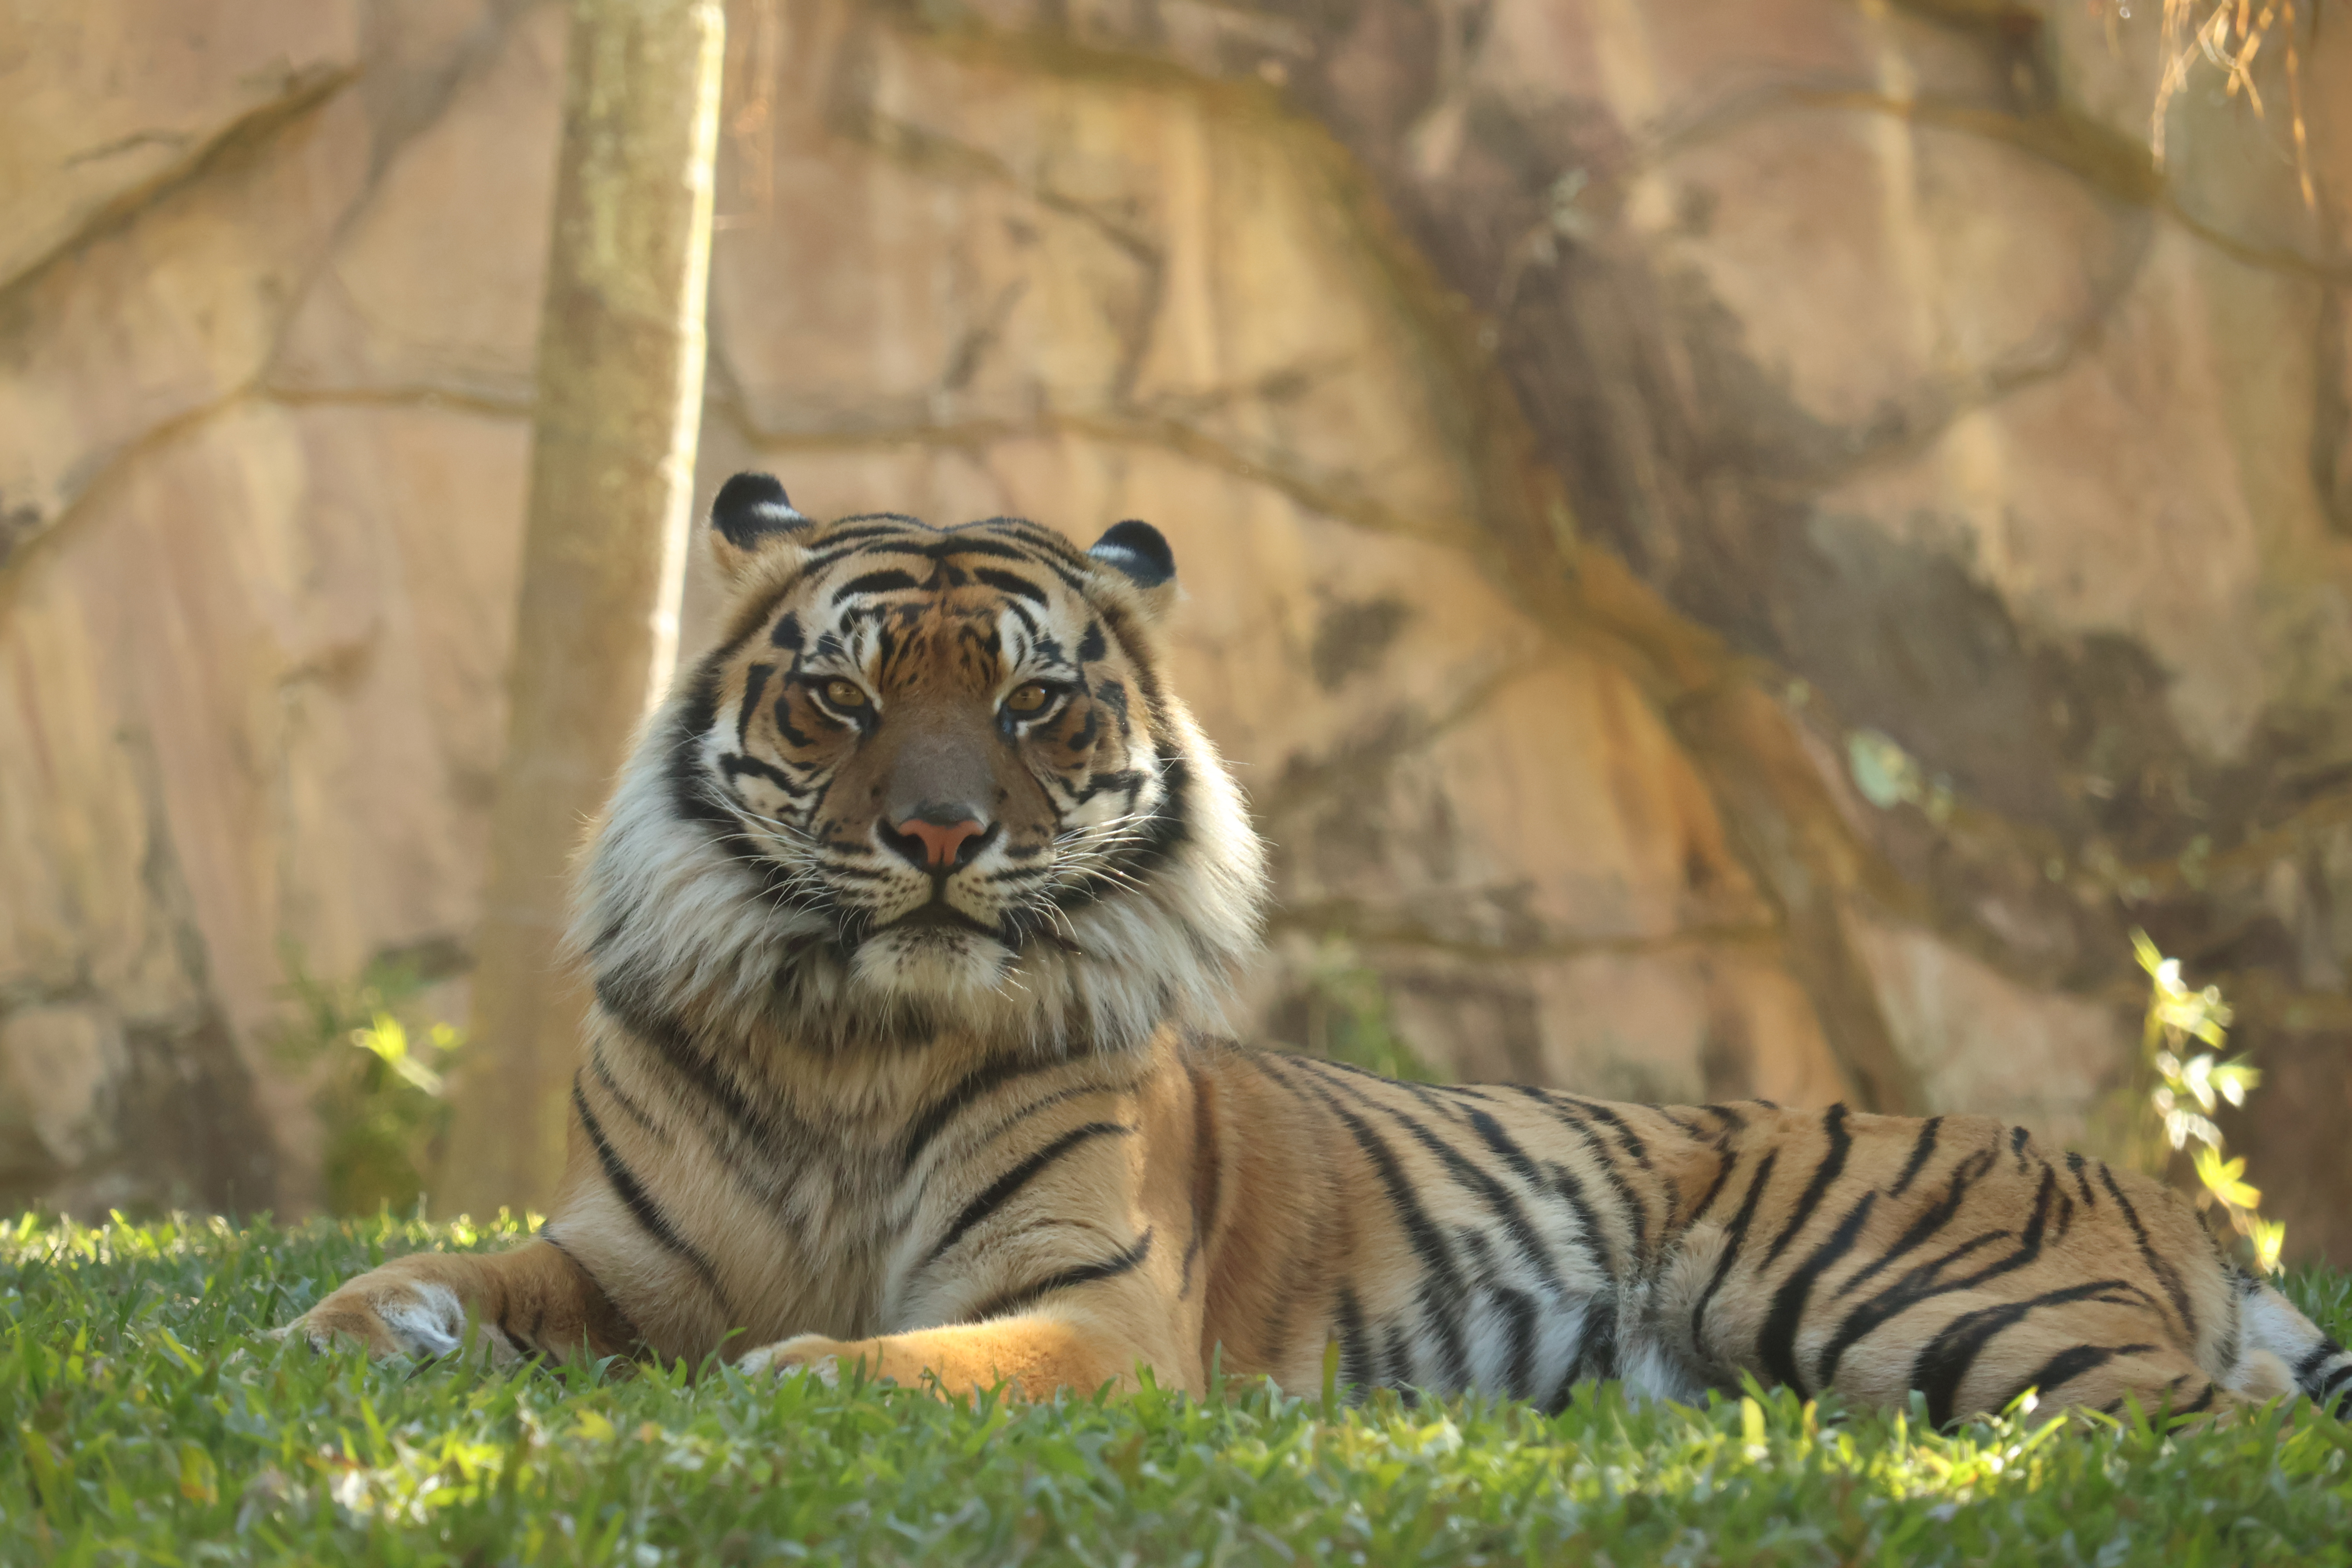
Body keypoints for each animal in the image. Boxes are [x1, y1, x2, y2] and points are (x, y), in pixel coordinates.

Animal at [289, 470, 2352, 1426]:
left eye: (1032, 706)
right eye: (844, 697)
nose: (940, 835)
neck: (854, 1037)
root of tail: (2163, 1188)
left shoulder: (1091, 1304)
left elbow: (908, 1353)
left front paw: (796, 1376)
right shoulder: (627, 1261)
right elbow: (438, 1270)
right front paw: (340, 1328)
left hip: (1910, 1304)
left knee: (2223, 1415)